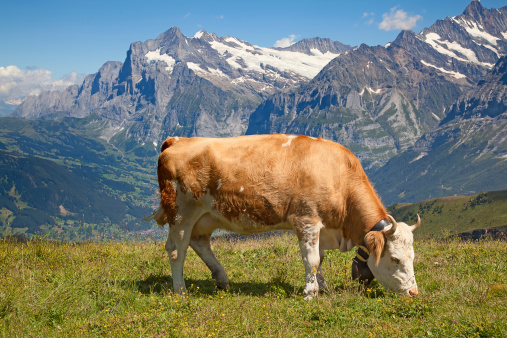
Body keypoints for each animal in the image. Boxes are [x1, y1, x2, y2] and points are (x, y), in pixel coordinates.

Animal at [149, 133, 422, 300]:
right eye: (395, 259)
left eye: (412, 257)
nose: (414, 293)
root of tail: (178, 140)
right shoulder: (306, 220)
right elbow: (311, 260)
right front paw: (310, 293)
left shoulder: (322, 228)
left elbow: (320, 259)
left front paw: (321, 286)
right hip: (181, 212)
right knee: (176, 250)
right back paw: (180, 290)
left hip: (206, 216)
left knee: (199, 243)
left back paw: (222, 280)